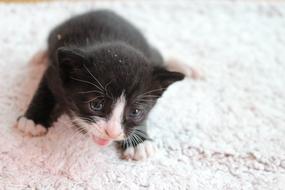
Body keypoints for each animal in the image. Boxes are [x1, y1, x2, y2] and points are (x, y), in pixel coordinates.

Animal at [15, 10, 184, 160]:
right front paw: (33, 120)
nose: (112, 132)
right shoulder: (55, 71)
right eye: (96, 105)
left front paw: (139, 143)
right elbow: (44, 90)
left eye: (136, 111)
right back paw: (39, 56)